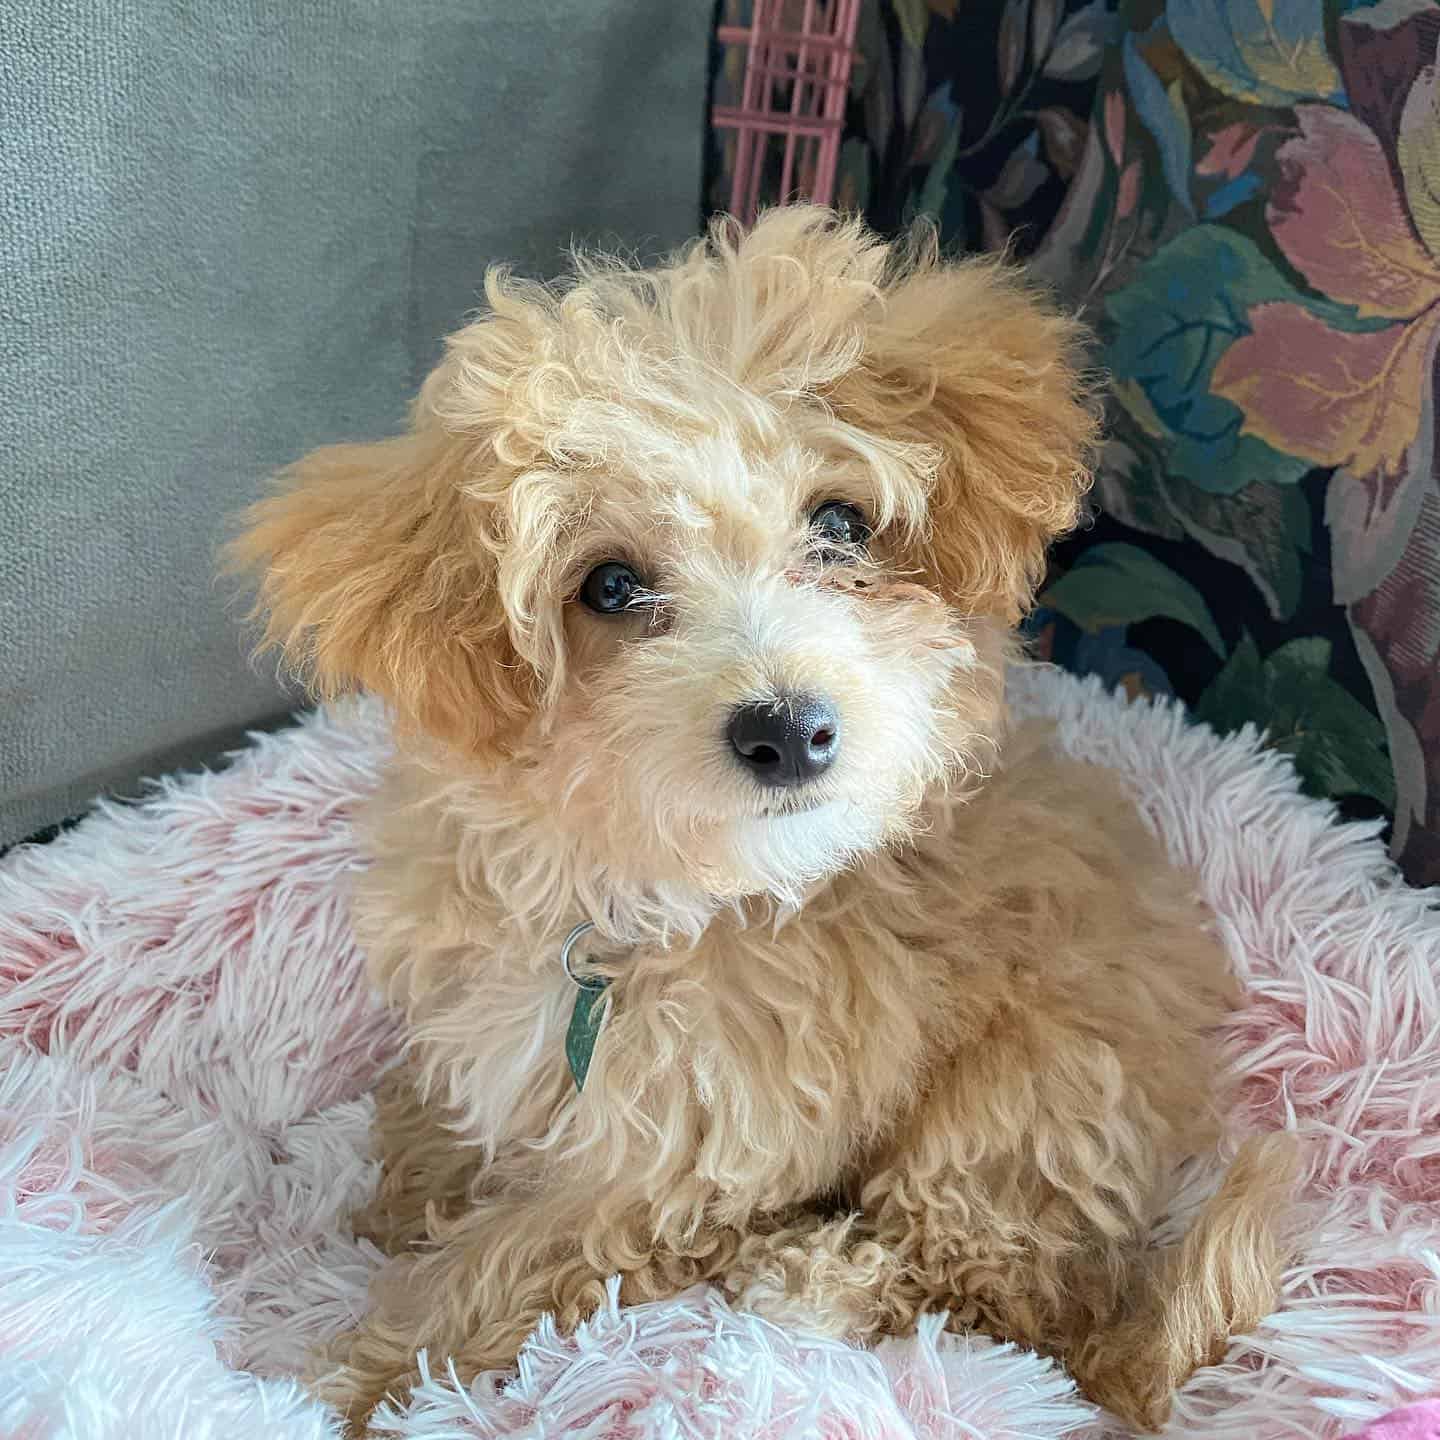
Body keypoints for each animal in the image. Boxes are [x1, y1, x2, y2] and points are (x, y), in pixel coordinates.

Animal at [233, 208, 1296, 1434]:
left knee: (985, 1278)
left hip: (1033, 1096)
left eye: (840, 524)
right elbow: (443, 1118)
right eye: (608, 587)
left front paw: (339, 1381)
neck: (645, 902)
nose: (788, 730)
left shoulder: (683, 1160)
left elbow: (498, 1270)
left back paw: (813, 1276)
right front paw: (403, 1196)